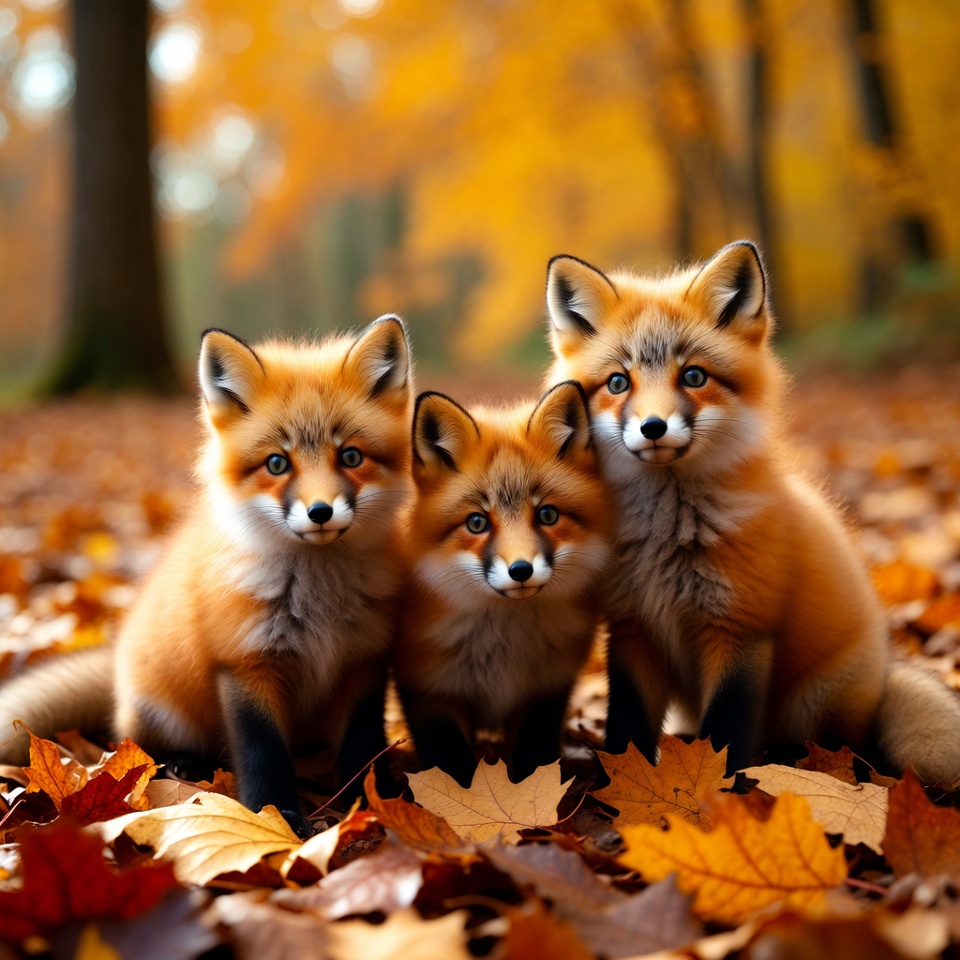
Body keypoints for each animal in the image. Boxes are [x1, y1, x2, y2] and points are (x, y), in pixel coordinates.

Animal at [0, 317, 413, 835]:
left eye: (352, 457)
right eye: (277, 463)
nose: (320, 512)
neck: (319, 600)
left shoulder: (364, 661)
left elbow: (362, 749)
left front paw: (377, 801)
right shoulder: (244, 663)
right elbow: (262, 754)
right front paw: (273, 816)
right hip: (159, 715)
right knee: (142, 750)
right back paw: (182, 765)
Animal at [392, 382, 613, 787]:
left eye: (547, 515)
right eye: (477, 523)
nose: (521, 570)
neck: (503, 645)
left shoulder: (548, 689)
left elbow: (534, 760)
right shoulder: (427, 689)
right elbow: (453, 766)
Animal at [543, 240, 960, 784]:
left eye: (693, 376)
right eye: (617, 383)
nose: (653, 427)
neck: (666, 541)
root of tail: (883, 675)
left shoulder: (741, 629)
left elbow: (727, 732)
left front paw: (721, 792)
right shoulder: (634, 628)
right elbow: (628, 729)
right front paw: (618, 785)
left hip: (814, 705)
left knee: (831, 747)